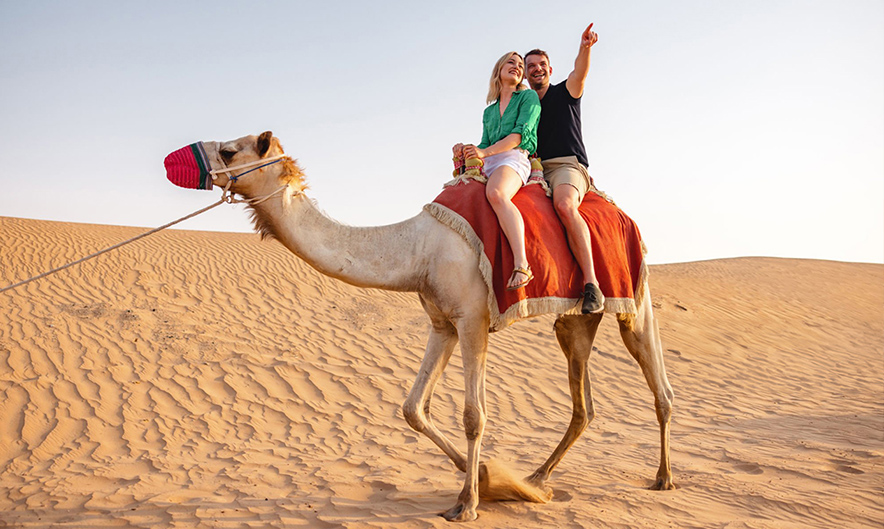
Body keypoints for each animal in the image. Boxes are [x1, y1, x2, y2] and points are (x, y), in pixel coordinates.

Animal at [195, 131, 675, 522]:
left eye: (229, 150)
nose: (196, 159)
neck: (417, 249)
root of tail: (623, 214)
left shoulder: (472, 320)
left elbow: (473, 415)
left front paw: (468, 502)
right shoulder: (442, 323)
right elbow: (413, 408)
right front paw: (487, 477)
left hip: (634, 294)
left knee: (659, 383)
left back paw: (663, 478)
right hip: (574, 321)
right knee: (583, 404)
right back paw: (537, 480)